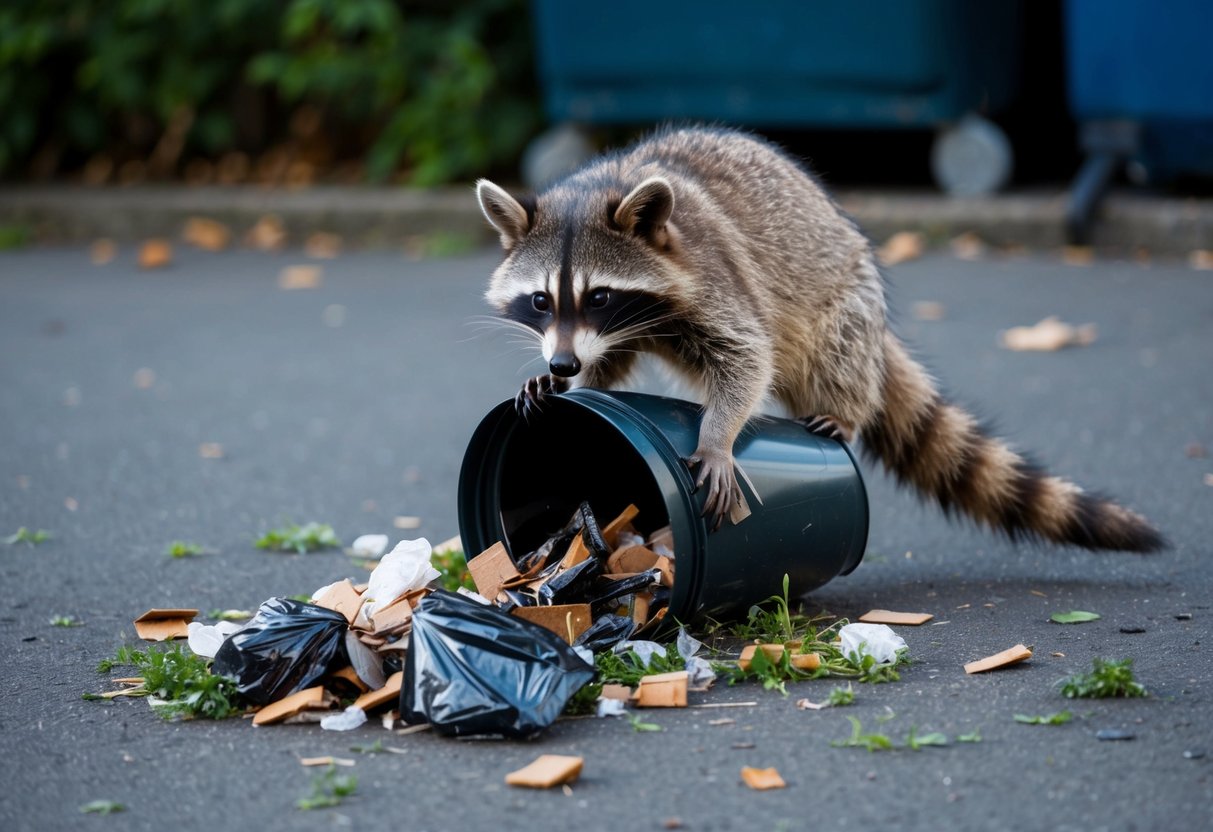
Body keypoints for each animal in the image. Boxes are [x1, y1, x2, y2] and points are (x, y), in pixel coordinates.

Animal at [475, 126, 1163, 550]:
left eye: (598, 296)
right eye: (541, 301)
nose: (563, 364)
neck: (600, 186)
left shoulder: (715, 277)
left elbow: (747, 355)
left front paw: (717, 434)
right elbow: (613, 362)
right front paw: (570, 384)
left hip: (847, 299)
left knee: (833, 348)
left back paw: (844, 407)